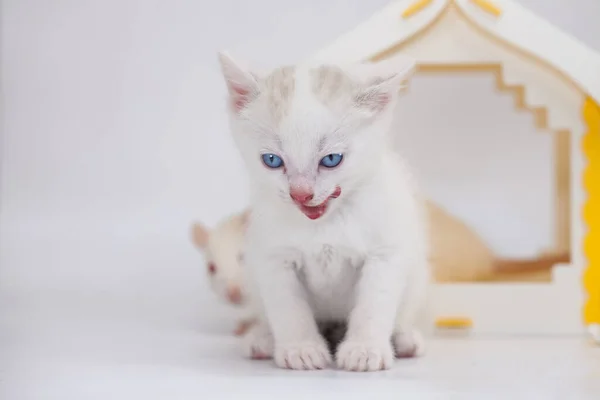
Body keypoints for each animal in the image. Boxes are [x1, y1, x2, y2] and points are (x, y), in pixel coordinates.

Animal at [218, 52, 428, 372]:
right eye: (271, 160)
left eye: (331, 159)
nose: (300, 194)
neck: (326, 224)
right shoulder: (272, 257)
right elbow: (288, 307)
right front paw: (301, 349)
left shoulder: (385, 252)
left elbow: (374, 303)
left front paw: (364, 349)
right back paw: (263, 339)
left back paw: (405, 339)